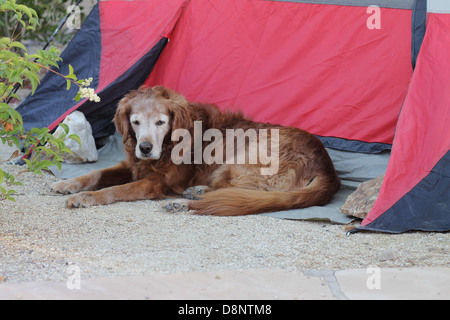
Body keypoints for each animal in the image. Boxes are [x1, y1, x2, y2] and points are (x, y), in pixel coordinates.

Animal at [51, 85, 340, 216]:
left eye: (161, 122)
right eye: (135, 122)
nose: (145, 148)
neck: (169, 143)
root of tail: (328, 168)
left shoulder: (155, 182)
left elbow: (114, 190)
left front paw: (86, 197)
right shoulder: (133, 165)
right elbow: (97, 173)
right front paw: (68, 184)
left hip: (243, 157)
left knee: (240, 193)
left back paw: (183, 201)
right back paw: (196, 192)